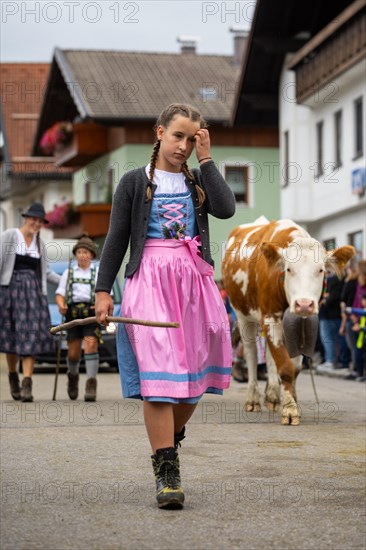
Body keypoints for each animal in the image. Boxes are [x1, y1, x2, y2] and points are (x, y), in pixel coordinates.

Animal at [222, 218, 356, 430]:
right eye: (289, 269)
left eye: (320, 270)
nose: (304, 304)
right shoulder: (269, 317)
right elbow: (285, 367)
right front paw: (290, 410)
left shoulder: (303, 323)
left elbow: (295, 367)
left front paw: (290, 400)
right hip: (243, 315)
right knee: (251, 354)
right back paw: (253, 398)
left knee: (269, 356)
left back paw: (272, 396)